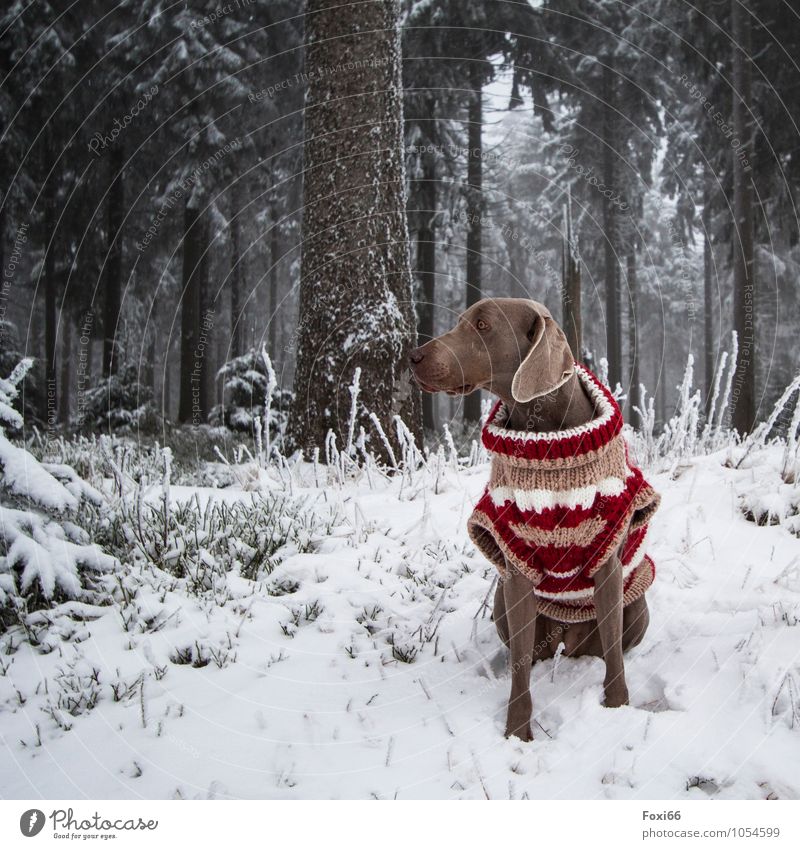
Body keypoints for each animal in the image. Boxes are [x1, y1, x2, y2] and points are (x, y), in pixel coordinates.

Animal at [410, 298, 660, 744]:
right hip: (500, 601)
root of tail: (567, 640)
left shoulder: (607, 559)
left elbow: (614, 653)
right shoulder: (515, 564)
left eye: (483, 325)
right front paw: (518, 732)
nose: (413, 356)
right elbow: (520, 668)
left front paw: (617, 707)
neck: (544, 431)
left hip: (637, 604)